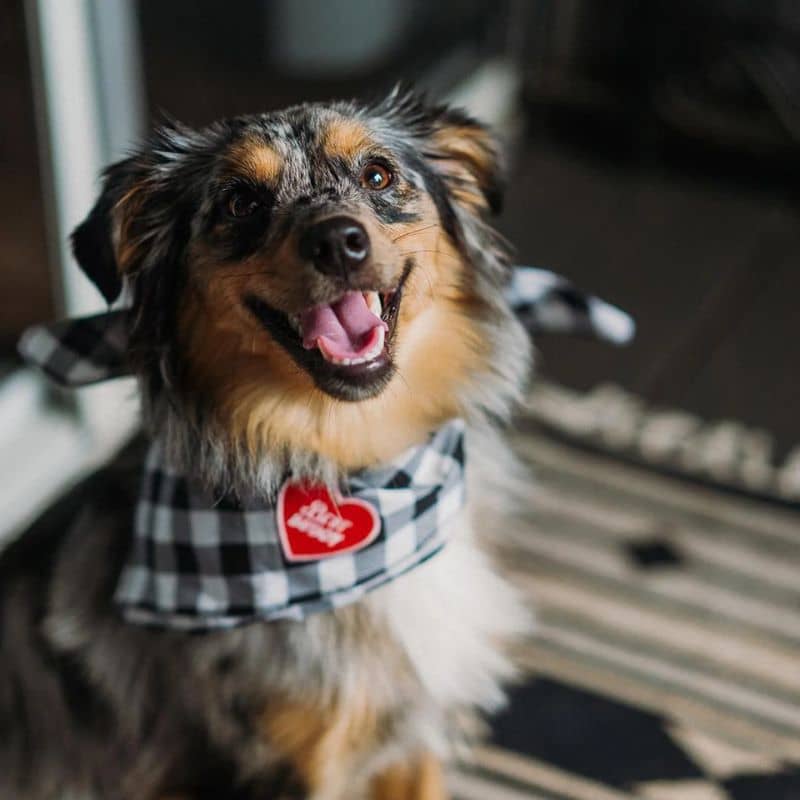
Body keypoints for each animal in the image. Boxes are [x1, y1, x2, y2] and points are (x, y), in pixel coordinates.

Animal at [0, 89, 544, 800]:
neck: (354, 471)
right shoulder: (285, 766)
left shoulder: (409, 736)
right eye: (240, 202)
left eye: (378, 175)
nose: (338, 241)